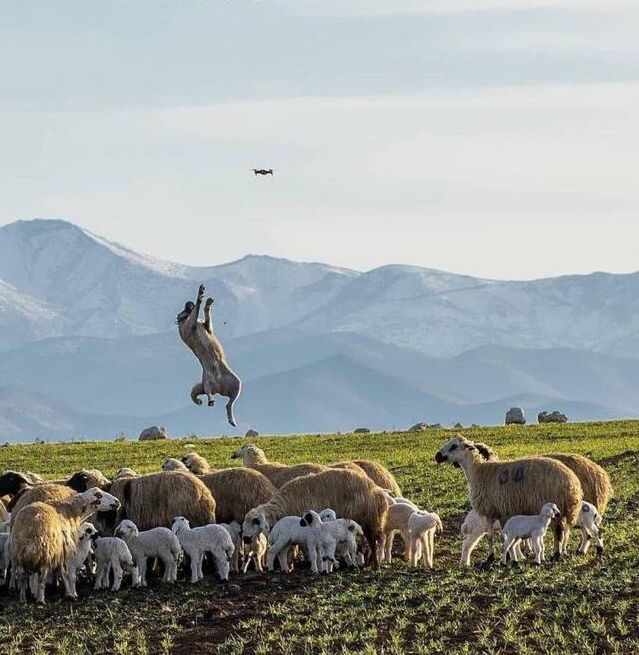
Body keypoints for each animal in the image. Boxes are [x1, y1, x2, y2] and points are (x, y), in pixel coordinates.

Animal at [175, 284, 242, 428]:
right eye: (182, 309)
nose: (188, 303)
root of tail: (218, 387)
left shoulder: (206, 326)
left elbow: (206, 318)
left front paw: (207, 302)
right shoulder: (190, 325)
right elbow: (196, 313)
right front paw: (200, 296)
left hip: (236, 384)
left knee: (229, 404)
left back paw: (231, 419)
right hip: (207, 381)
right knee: (209, 393)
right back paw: (211, 401)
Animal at [241, 466, 388, 568]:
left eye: (255, 521)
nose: (245, 538)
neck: (284, 505)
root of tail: (376, 489)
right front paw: (291, 564)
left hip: (370, 519)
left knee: (374, 541)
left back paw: (375, 563)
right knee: (371, 540)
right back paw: (369, 560)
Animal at [438, 436, 584, 560]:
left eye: (454, 446)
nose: (437, 456)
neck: (477, 471)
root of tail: (573, 483)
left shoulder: (492, 511)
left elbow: (495, 537)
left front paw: (496, 557)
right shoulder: (498, 512)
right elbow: (497, 536)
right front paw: (501, 556)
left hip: (555, 506)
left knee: (558, 532)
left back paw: (556, 555)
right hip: (561, 510)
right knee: (562, 531)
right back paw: (559, 554)